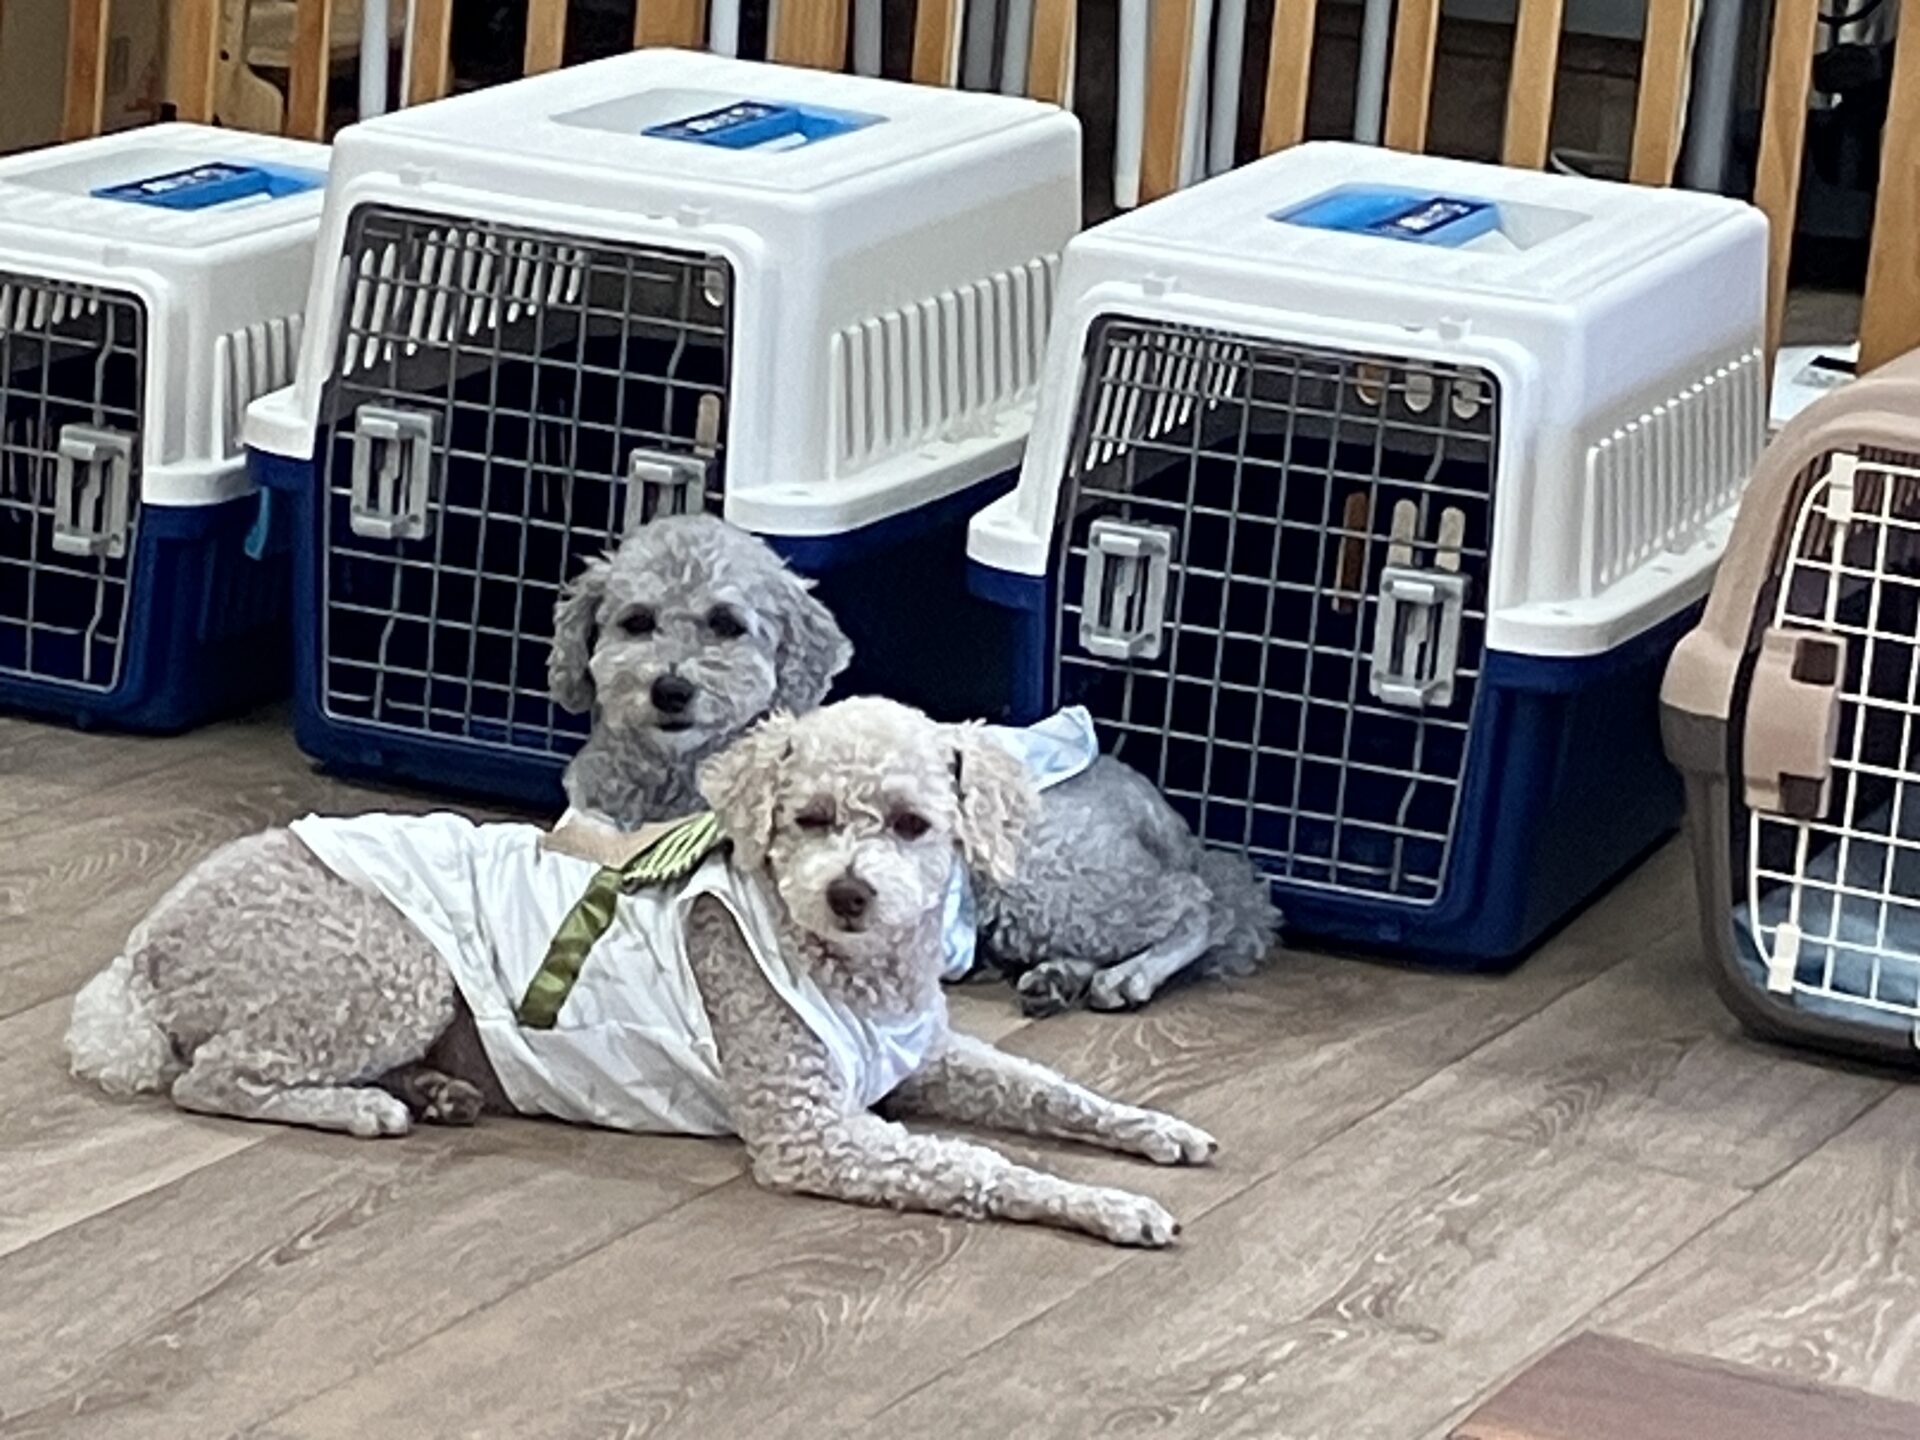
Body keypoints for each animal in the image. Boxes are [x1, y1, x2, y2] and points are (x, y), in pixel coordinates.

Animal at [66, 698, 1214, 1246]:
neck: (847, 971)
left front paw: (1153, 1132)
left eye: (911, 824)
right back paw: (360, 1109)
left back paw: (435, 1091)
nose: (849, 894)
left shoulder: (926, 1058)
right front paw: (1109, 1208)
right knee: (214, 1077)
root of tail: (146, 947)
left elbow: (1050, 1091)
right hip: (388, 967)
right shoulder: (819, 1135)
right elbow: (986, 1168)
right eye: (809, 820)